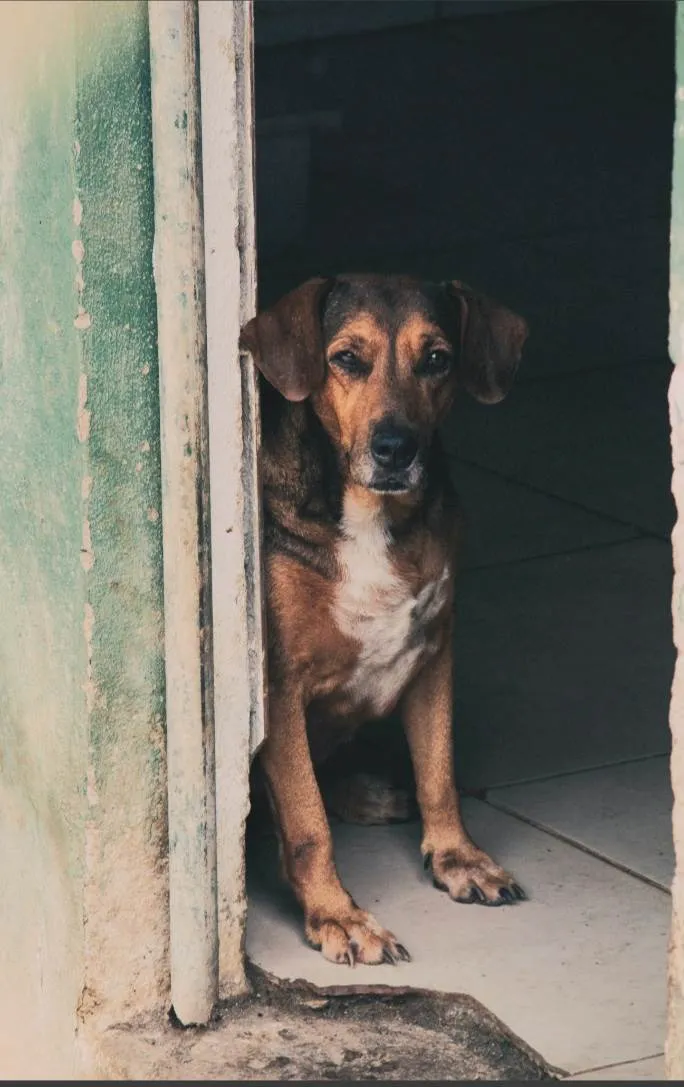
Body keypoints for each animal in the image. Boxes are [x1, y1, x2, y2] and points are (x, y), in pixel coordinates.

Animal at [240, 273, 528, 969]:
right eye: (346, 358)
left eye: (437, 359)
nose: (395, 449)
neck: (371, 514)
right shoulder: (279, 689)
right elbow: (307, 822)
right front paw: (338, 916)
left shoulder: (434, 655)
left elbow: (439, 772)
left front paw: (457, 857)